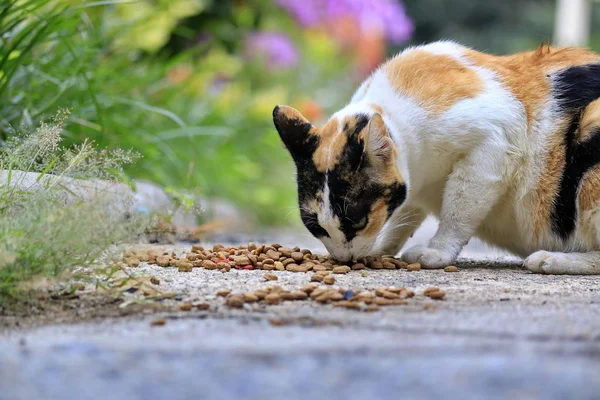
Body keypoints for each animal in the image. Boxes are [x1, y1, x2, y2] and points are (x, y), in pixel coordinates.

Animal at [274, 41, 600, 276]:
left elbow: (458, 210)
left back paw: (552, 259)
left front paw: (437, 252)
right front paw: (381, 248)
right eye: (316, 227)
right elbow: (402, 217)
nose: (345, 259)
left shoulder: (493, 144)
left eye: (359, 220)